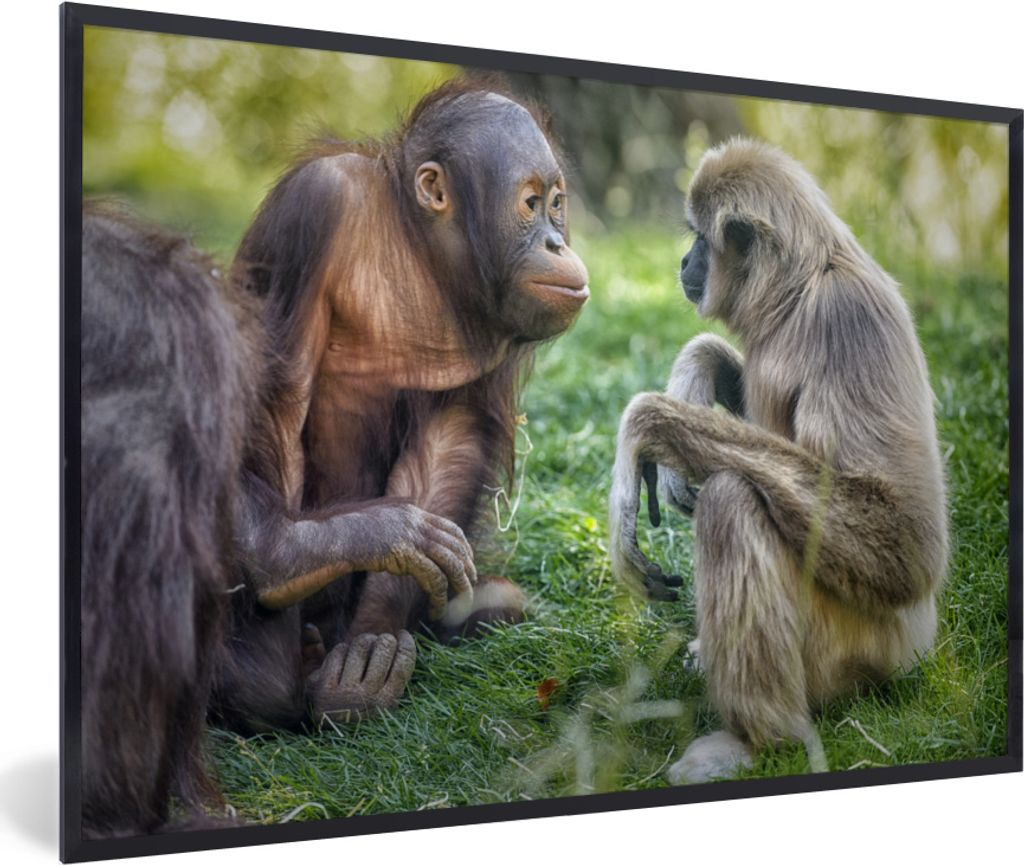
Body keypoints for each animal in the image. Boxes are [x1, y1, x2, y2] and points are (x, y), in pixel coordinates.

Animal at [608, 138, 947, 783]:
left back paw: (762, 741)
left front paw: (648, 424)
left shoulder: (847, 319)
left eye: (699, 237)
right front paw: (696, 370)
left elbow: (906, 542)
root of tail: (916, 645)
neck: (800, 292)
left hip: (856, 645)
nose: (684, 259)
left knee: (731, 499)